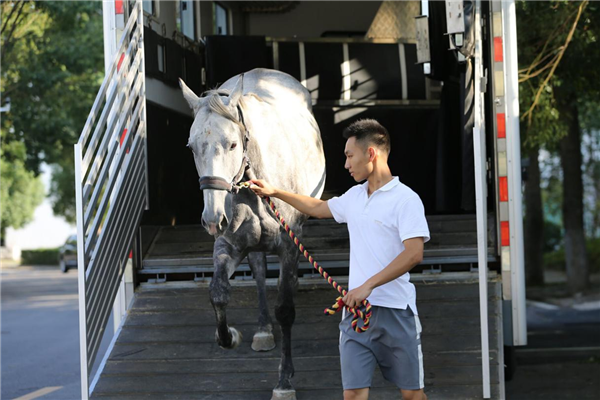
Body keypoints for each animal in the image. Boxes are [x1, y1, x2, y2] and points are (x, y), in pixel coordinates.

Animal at [180, 67, 326, 398]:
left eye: (233, 144)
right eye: (191, 147)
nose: (212, 219)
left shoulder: (289, 245)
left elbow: (285, 309)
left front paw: (284, 381)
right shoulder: (228, 245)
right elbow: (219, 293)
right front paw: (229, 336)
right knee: (259, 272)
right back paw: (262, 330)